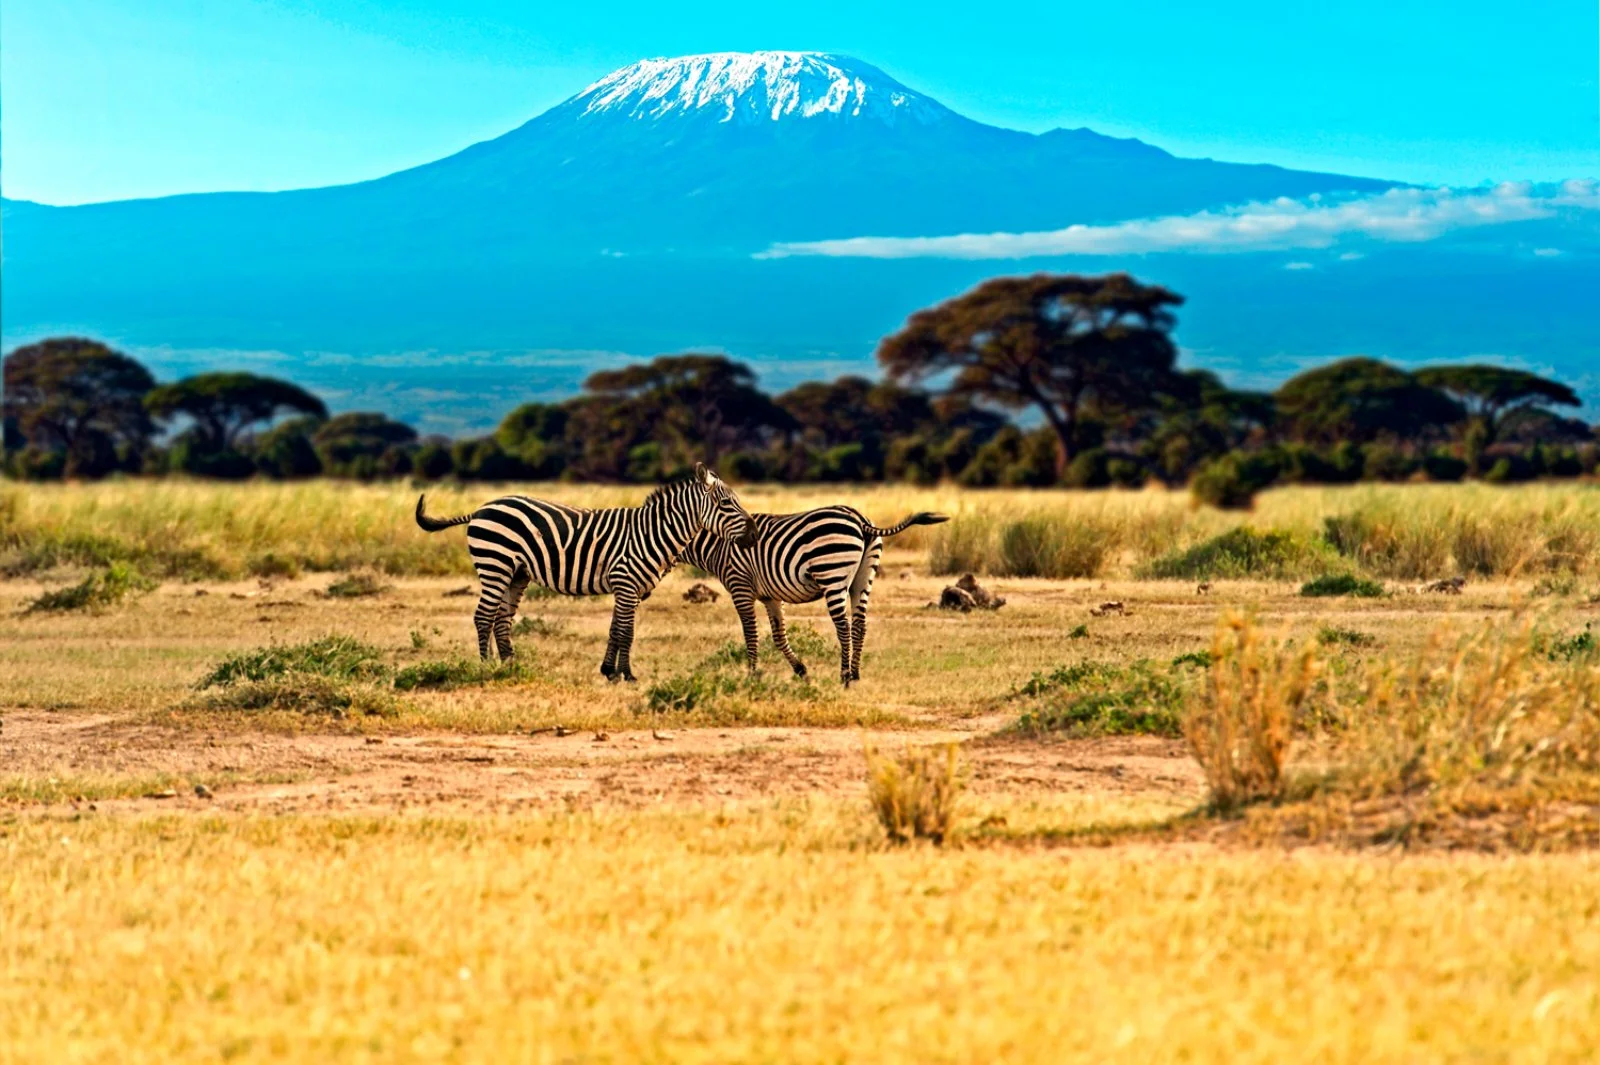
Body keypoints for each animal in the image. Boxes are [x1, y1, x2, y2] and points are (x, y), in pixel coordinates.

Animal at [419, 463, 755, 681]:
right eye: (726, 503)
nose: (752, 535)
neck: (651, 533)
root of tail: (481, 508)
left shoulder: (628, 588)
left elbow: (616, 629)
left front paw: (610, 672)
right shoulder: (626, 582)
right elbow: (627, 631)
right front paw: (627, 674)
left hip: (516, 573)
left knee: (502, 619)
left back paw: (509, 666)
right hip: (495, 564)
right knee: (483, 616)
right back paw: (486, 667)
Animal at [678, 505, 947, 684]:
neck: (718, 544)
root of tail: (858, 518)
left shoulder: (740, 586)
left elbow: (751, 634)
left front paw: (752, 676)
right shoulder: (770, 595)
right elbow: (778, 636)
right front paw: (801, 670)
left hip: (832, 573)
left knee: (844, 627)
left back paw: (844, 676)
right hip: (864, 577)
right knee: (860, 624)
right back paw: (856, 674)